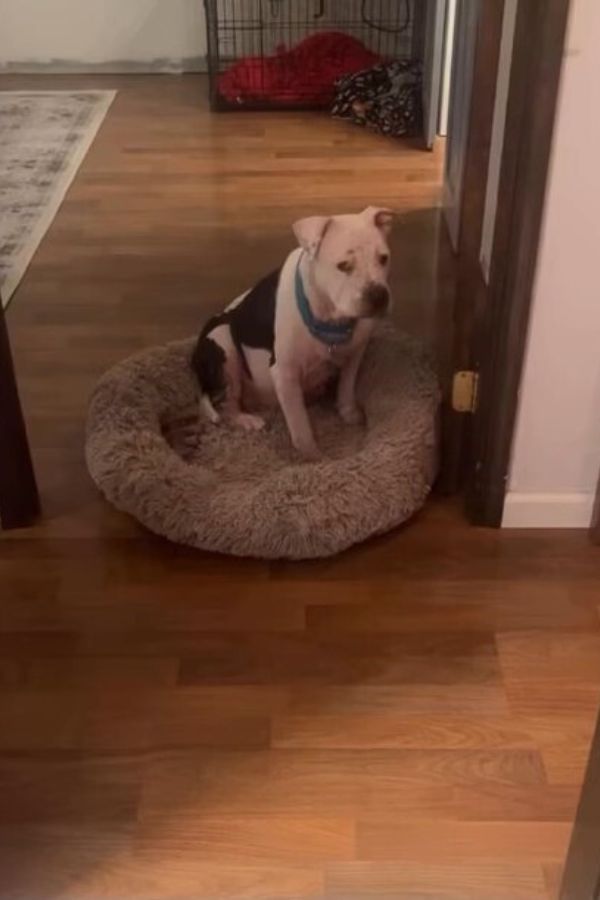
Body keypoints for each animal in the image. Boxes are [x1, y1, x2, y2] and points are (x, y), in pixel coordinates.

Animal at [192, 207, 394, 460]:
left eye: (384, 258)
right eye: (343, 265)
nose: (378, 295)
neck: (329, 318)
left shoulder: (355, 354)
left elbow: (346, 388)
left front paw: (350, 414)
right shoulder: (285, 374)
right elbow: (300, 424)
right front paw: (313, 457)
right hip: (223, 342)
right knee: (227, 404)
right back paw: (247, 420)